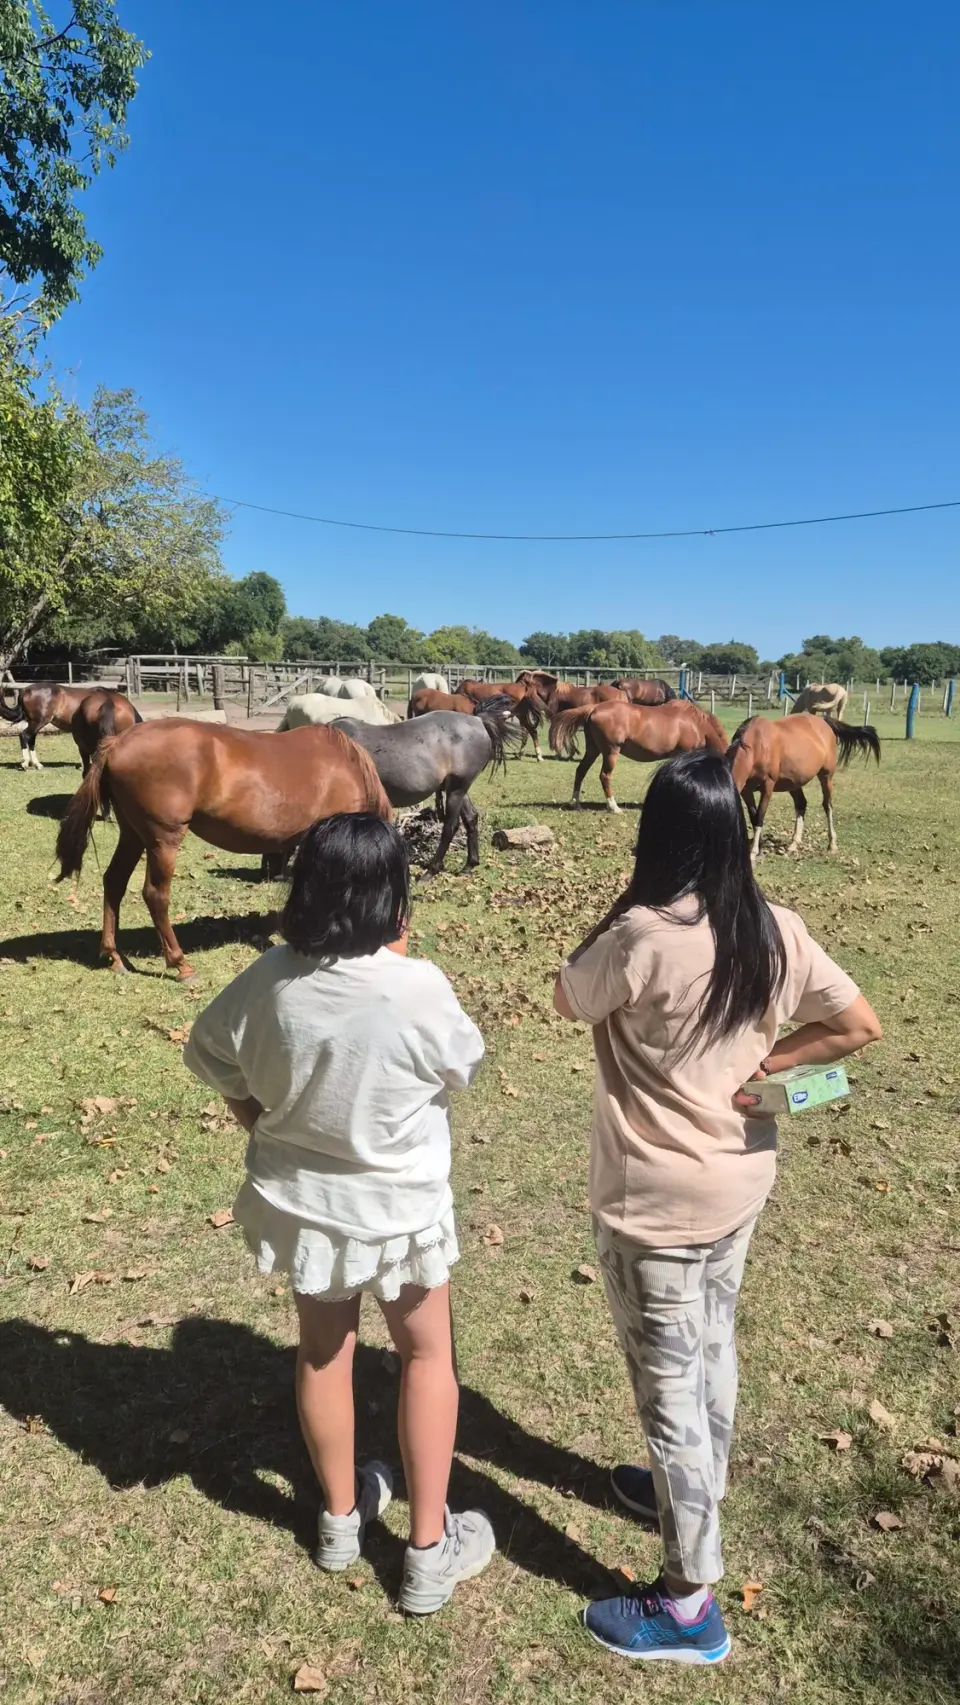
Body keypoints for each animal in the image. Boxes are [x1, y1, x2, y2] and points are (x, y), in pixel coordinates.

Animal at [0, 680, 135, 770]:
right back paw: (25, 763)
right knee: (24, 735)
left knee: (31, 739)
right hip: (38, 722)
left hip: (35, 723)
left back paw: (37, 764)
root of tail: (26, 690)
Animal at [55, 720, 391, 980]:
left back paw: (114, 956)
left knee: (114, 882)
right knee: (155, 895)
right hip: (163, 841)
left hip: (133, 836)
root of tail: (117, 742)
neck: (348, 770)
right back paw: (180, 963)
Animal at [334, 703, 520, 873]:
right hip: (457, 789)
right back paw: (469, 865)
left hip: (456, 790)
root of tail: (478, 720)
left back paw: (432, 870)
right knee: (471, 818)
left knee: (450, 827)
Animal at [550, 700, 728, 811]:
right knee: (604, 776)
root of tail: (594, 708)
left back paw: (575, 803)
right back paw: (613, 807)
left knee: (580, 771)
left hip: (593, 750)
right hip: (611, 752)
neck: (697, 724)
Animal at [727, 713, 880, 860]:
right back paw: (794, 844)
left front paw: (753, 853)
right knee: (801, 804)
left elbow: (759, 817)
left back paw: (832, 845)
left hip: (826, 777)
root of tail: (823, 721)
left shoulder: (767, 787)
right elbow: (753, 817)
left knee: (827, 806)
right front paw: (759, 849)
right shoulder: (746, 791)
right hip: (794, 783)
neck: (757, 747)